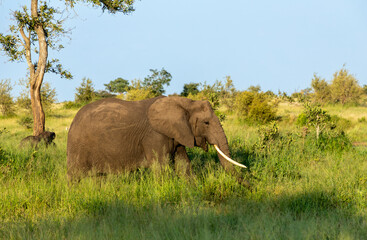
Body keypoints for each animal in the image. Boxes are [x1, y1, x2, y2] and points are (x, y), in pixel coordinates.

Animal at [67, 95, 249, 184]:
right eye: (206, 123)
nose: (251, 184)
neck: (185, 103)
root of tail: (73, 120)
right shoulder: (154, 136)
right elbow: (161, 168)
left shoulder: (178, 133)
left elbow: (183, 165)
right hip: (77, 145)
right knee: (74, 176)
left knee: (99, 177)